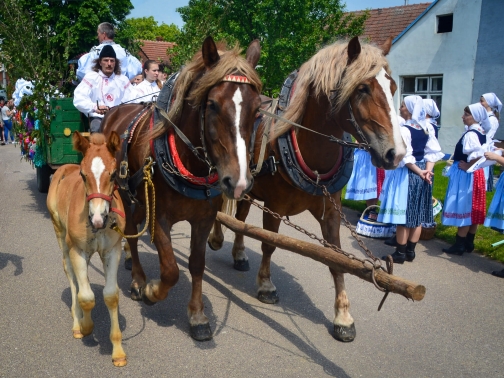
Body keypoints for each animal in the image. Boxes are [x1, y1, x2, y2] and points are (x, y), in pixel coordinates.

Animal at [46, 132, 127, 366]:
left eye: (113, 174)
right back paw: (76, 322)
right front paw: (86, 326)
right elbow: (86, 297)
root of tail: (64, 168)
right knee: (71, 275)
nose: (98, 219)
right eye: (83, 175)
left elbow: (110, 295)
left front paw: (118, 351)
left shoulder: (113, 251)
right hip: (61, 236)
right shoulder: (78, 252)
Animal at [100, 37, 262, 342]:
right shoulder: (158, 216)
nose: (238, 182)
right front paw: (152, 291)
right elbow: (171, 269)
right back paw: (137, 280)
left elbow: (196, 264)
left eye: (258, 108)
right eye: (212, 104)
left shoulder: (203, 219)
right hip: (126, 193)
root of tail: (115, 112)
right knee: (131, 234)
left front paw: (197, 315)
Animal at [207, 37, 408, 342]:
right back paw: (217, 239)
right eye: (362, 88)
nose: (396, 154)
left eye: (393, 87)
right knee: (224, 210)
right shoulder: (274, 206)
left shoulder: (330, 213)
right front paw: (266, 285)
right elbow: (269, 243)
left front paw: (343, 316)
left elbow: (337, 259)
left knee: (240, 219)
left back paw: (239, 254)